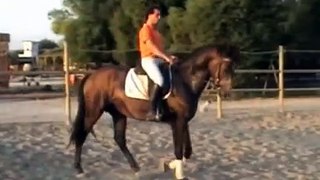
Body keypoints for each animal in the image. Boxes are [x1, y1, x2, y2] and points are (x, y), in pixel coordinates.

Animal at [69, 43, 241, 179]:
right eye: (226, 67)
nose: (227, 92)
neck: (185, 81)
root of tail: (91, 75)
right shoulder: (178, 121)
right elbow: (179, 149)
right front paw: (178, 172)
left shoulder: (183, 121)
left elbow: (187, 150)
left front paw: (170, 165)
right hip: (94, 111)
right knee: (82, 135)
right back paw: (79, 169)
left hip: (119, 113)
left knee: (119, 139)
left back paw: (136, 169)